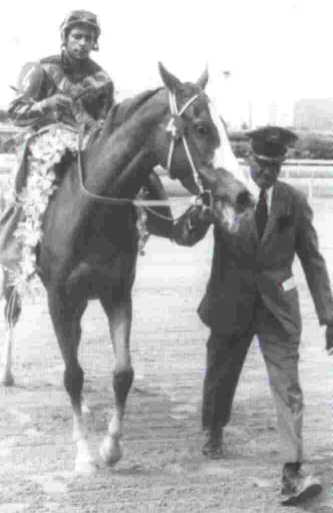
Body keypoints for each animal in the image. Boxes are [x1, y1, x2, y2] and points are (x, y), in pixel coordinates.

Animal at [0, 63, 254, 472]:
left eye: (225, 125)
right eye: (202, 128)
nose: (243, 195)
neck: (90, 209)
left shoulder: (116, 293)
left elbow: (122, 373)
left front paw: (111, 447)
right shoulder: (60, 299)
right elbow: (72, 374)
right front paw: (84, 453)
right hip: (17, 272)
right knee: (13, 313)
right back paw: (8, 373)